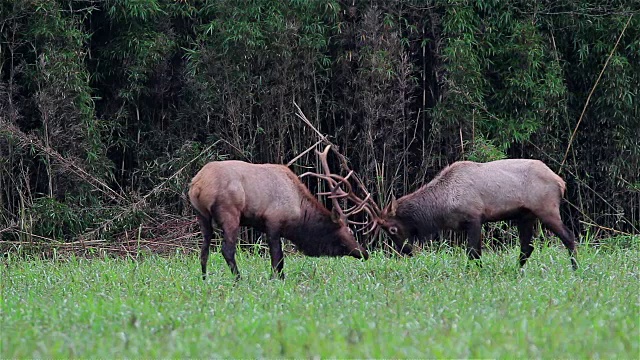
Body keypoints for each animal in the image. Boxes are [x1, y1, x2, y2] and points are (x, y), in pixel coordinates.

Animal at [188, 150, 368, 280]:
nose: (364, 253)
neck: (299, 213)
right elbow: (277, 258)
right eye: (350, 231)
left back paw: (204, 278)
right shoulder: (273, 222)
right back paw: (238, 279)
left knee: (204, 251)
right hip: (230, 213)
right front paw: (277, 279)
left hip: (201, 215)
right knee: (227, 250)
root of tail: (198, 185)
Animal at [352, 159, 576, 268]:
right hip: (525, 215)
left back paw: (575, 269)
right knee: (527, 247)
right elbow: (476, 253)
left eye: (392, 229)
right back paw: (516, 272)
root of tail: (561, 182)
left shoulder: (474, 217)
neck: (441, 208)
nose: (406, 251)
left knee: (569, 237)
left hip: (546, 208)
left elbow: (473, 253)